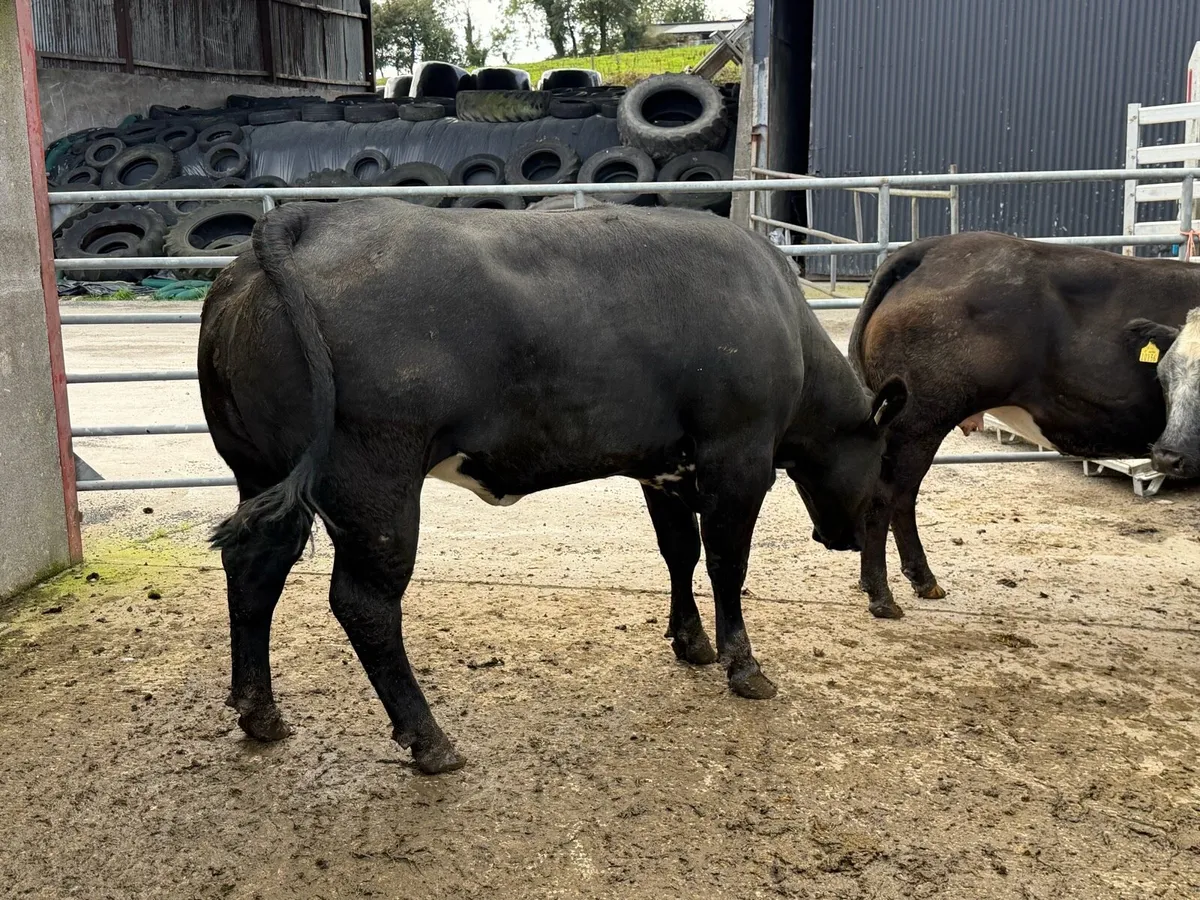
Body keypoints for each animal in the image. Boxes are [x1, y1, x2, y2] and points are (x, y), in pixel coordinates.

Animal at [197, 199, 908, 774]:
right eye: (879, 467)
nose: (843, 537)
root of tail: (311, 221)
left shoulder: (662, 465)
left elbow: (679, 553)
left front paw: (692, 643)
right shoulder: (738, 455)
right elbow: (726, 563)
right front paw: (745, 665)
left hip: (259, 472)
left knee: (253, 569)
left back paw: (260, 714)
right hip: (376, 480)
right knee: (364, 603)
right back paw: (430, 739)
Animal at [849, 231, 1200, 620]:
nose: (1167, 455)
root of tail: (931, 248)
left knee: (903, 496)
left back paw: (924, 581)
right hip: (920, 419)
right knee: (887, 495)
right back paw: (881, 595)